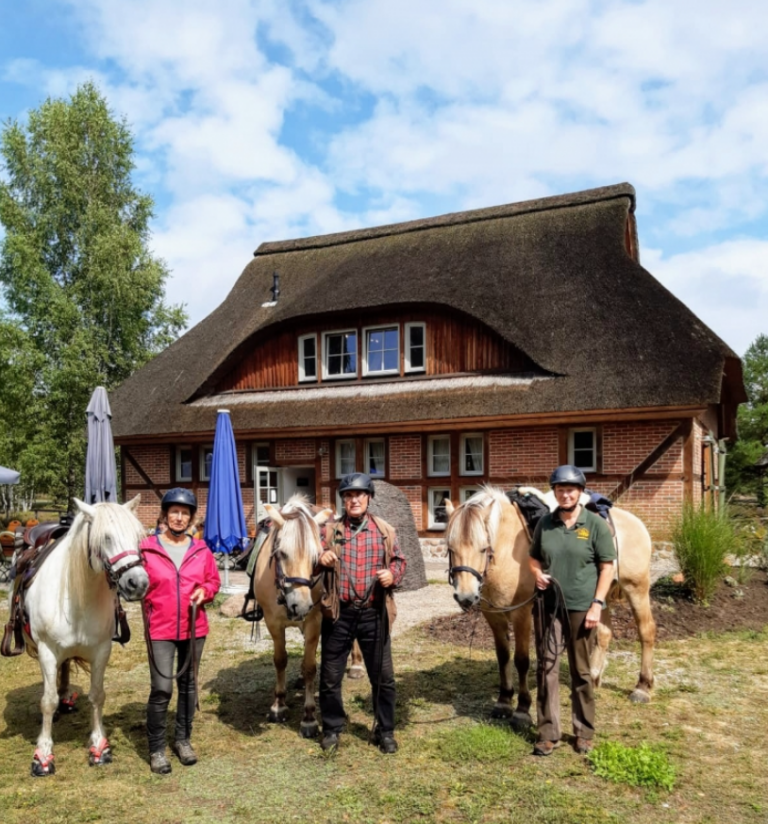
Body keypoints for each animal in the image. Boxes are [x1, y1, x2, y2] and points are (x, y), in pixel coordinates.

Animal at [18, 498, 148, 776]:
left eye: (137, 537)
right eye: (106, 537)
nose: (138, 583)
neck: (77, 597)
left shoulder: (101, 650)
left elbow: (97, 695)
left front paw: (99, 747)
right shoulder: (47, 650)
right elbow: (47, 701)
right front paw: (42, 755)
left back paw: (66, 696)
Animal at [254, 492, 332, 736]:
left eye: (316, 558)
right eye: (281, 553)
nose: (301, 605)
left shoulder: (314, 621)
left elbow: (310, 667)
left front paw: (309, 717)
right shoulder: (273, 623)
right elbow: (280, 660)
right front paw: (278, 705)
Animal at [444, 486, 536, 724]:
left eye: (483, 548)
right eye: (450, 548)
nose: (465, 597)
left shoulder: (522, 614)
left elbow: (521, 659)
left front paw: (522, 710)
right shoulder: (493, 614)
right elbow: (503, 656)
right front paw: (504, 701)